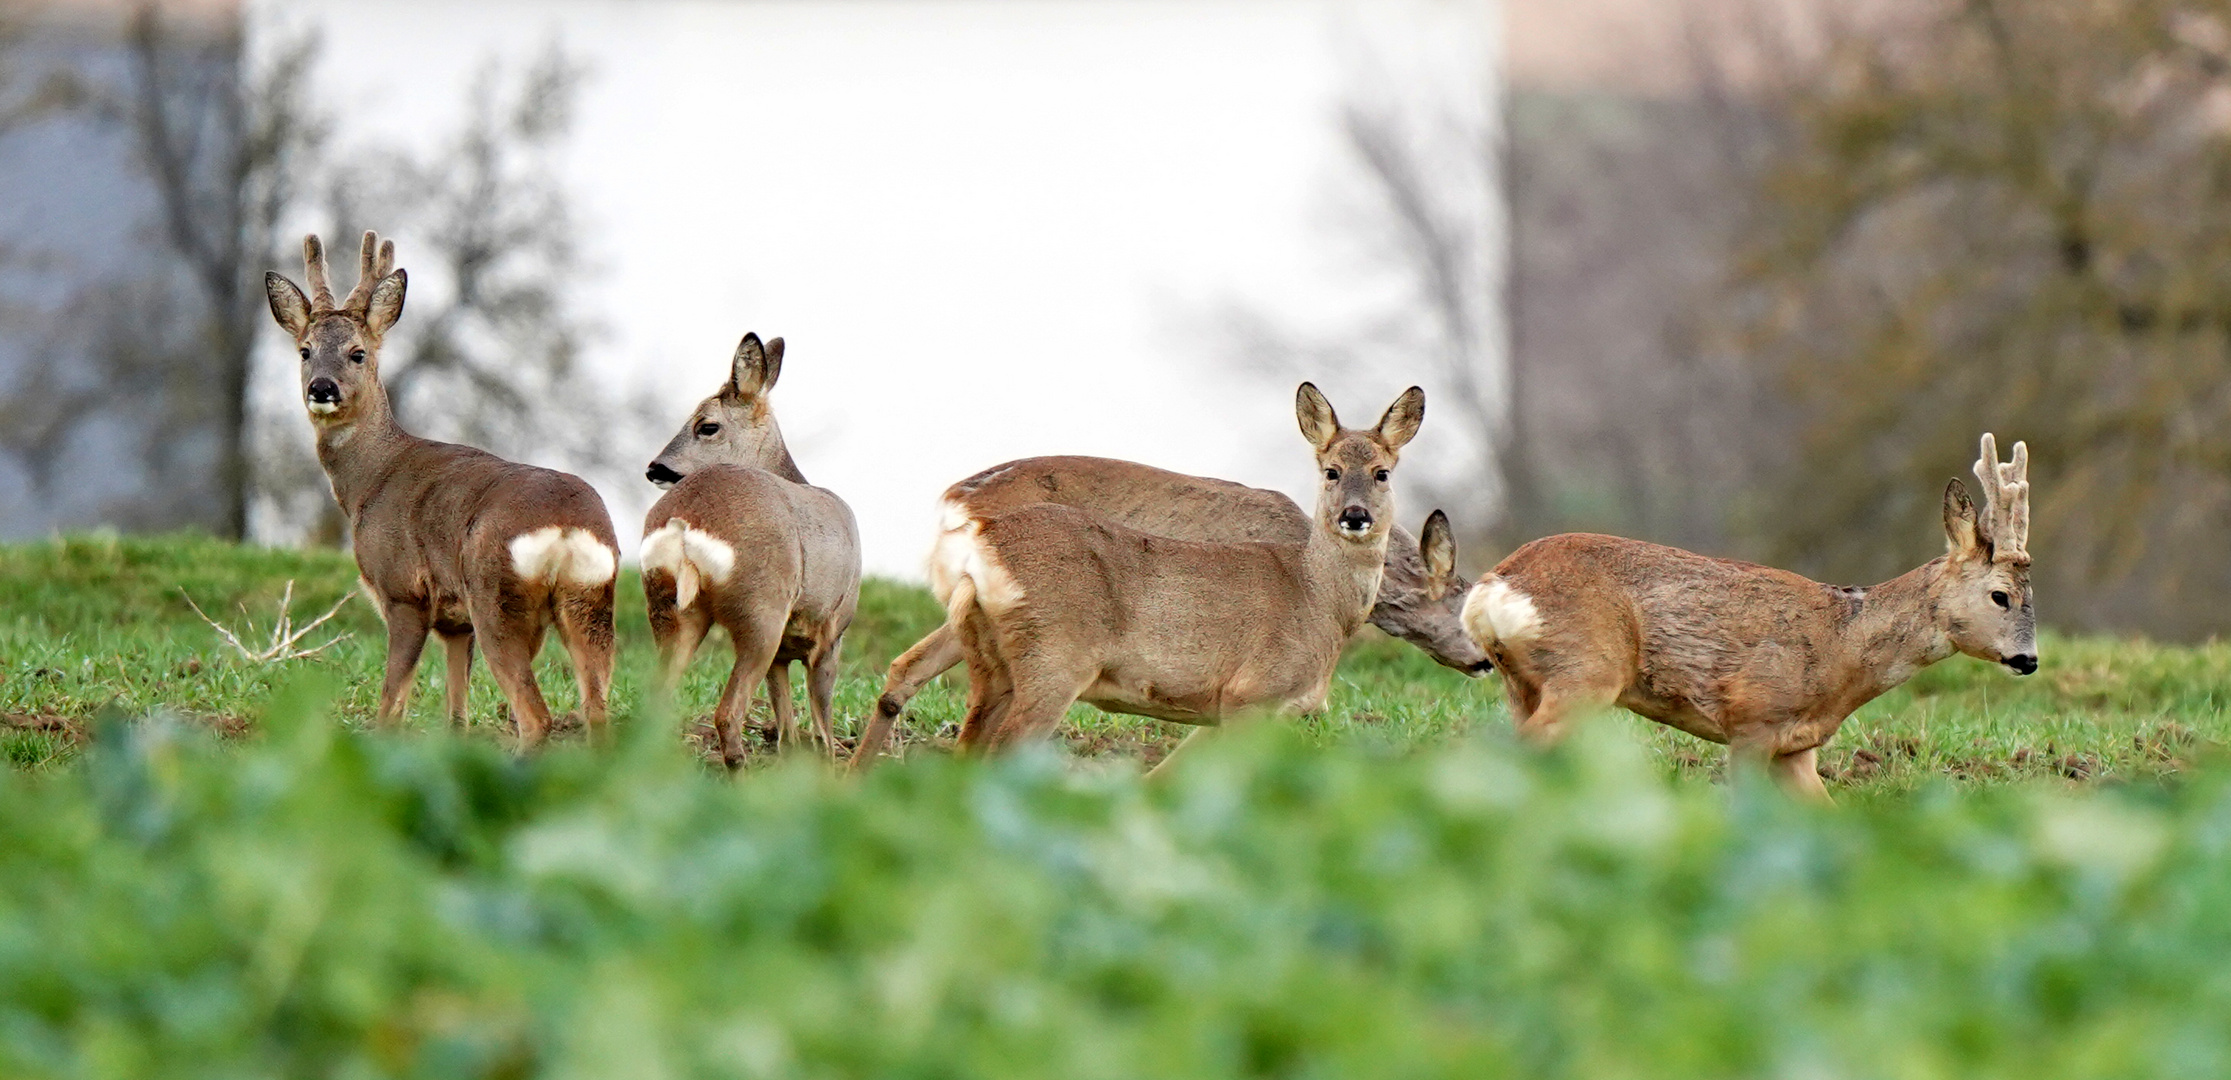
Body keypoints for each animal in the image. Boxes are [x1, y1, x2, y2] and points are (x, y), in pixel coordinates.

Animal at [266, 232, 624, 745]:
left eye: (358, 352)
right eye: (305, 350)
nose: (322, 388)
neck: (369, 480)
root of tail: (566, 528)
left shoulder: (403, 590)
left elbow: (391, 704)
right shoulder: (456, 624)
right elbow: (457, 714)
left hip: (496, 599)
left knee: (536, 715)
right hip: (590, 601)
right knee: (596, 710)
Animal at [646, 332, 861, 763]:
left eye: (707, 426)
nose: (654, 469)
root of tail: (686, 522)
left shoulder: (785, 653)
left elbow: (788, 731)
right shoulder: (831, 633)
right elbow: (822, 733)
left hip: (670, 610)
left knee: (657, 698)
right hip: (761, 609)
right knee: (728, 713)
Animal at [923, 383, 1427, 772]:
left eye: (1382, 473)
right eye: (1331, 472)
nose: (1354, 516)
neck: (1321, 601)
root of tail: (982, 544)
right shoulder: (1250, 694)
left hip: (992, 669)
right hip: (1053, 661)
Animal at [1463, 435, 2043, 798]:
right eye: (2000, 596)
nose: (2030, 660)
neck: (1842, 647)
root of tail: (1493, 587)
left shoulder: (1796, 749)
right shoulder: (1752, 720)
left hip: (1523, 684)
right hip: (1587, 672)